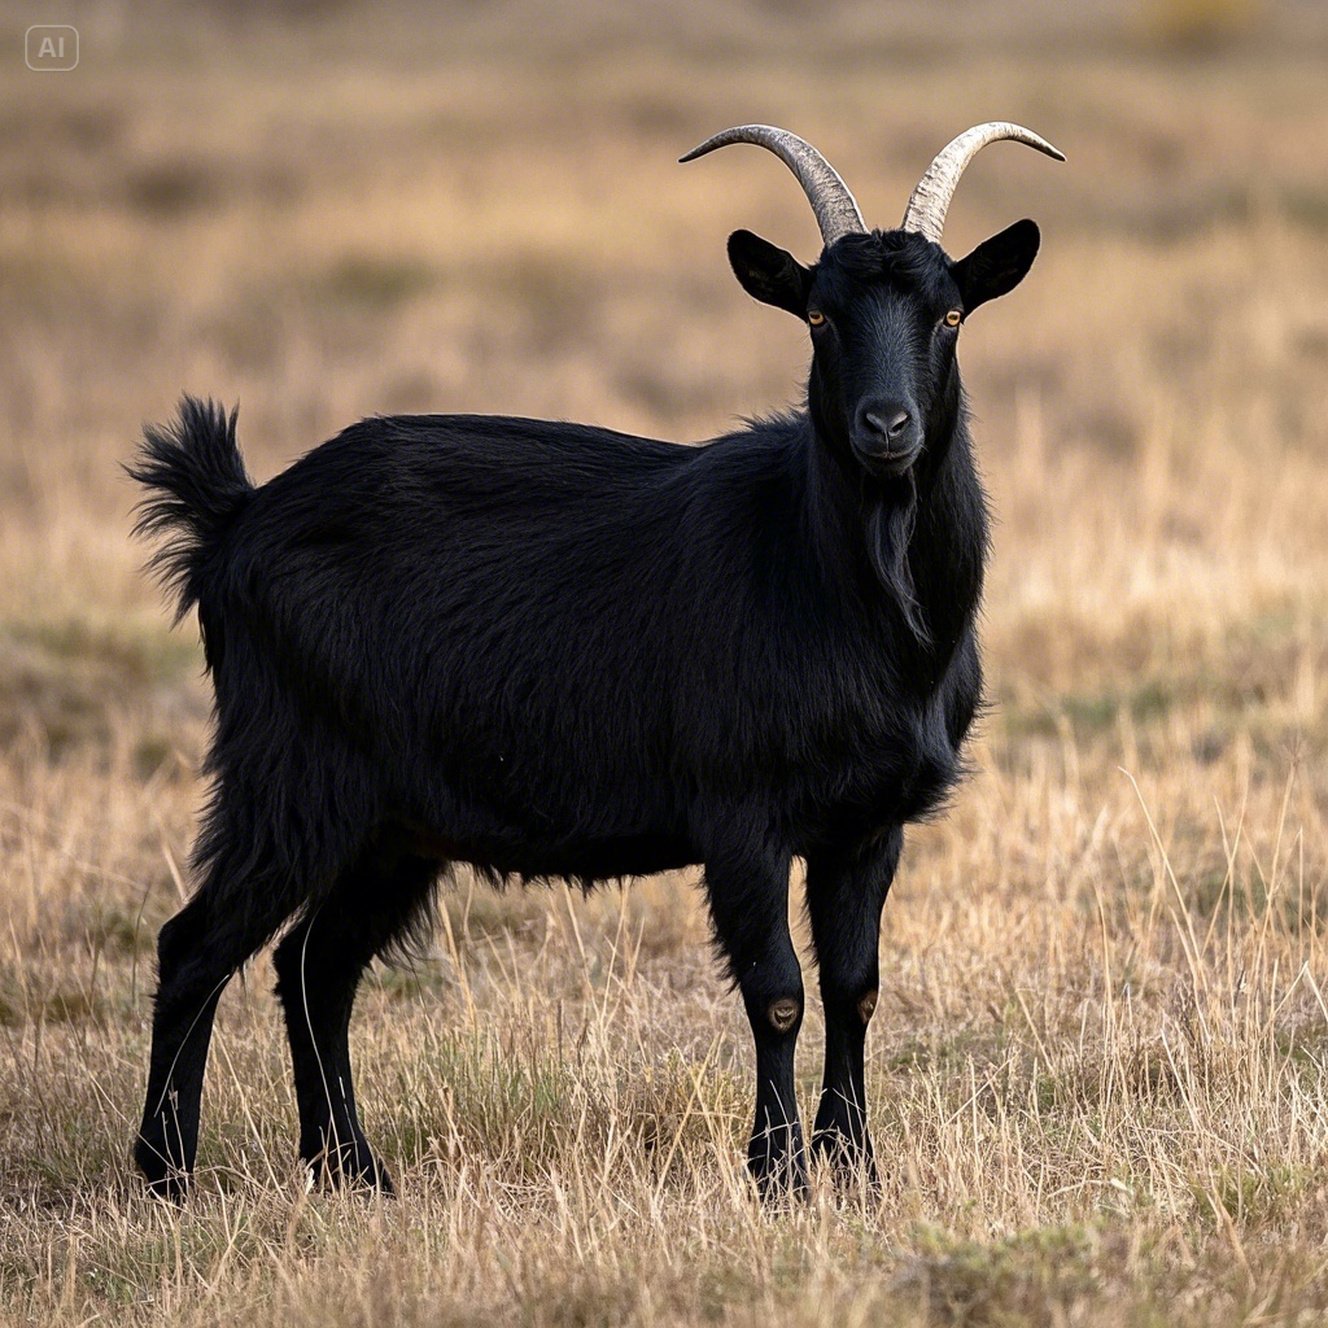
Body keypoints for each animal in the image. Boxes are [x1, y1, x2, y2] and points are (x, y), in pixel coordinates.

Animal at [129, 122, 1062, 1199]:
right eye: (819, 314)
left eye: (949, 313)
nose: (885, 426)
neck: (834, 580)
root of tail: (233, 521)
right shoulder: (739, 813)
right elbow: (779, 992)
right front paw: (777, 1173)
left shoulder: (868, 824)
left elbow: (855, 987)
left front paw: (856, 1168)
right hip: (291, 773)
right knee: (197, 946)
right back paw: (167, 1174)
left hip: (392, 823)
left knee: (313, 965)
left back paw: (352, 1169)